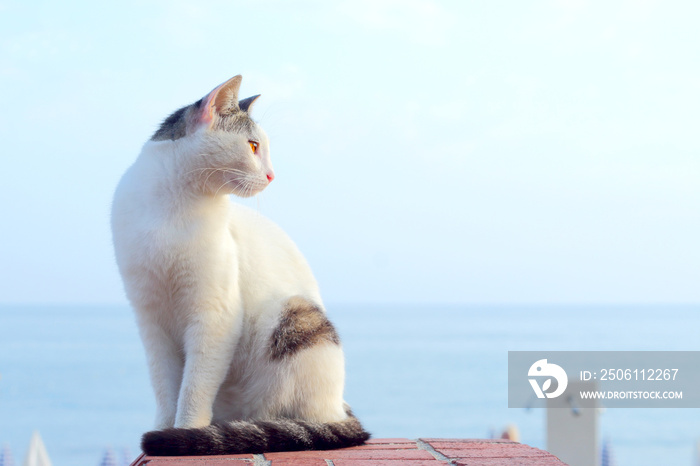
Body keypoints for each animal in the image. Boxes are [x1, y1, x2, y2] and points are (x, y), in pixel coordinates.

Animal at [110, 74, 366, 454]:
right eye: (253, 146)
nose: (273, 175)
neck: (173, 209)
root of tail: (340, 406)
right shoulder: (150, 320)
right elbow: (165, 386)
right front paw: (164, 428)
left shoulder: (215, 317)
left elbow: (194, 388)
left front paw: (184, 432)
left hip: (299, 319)